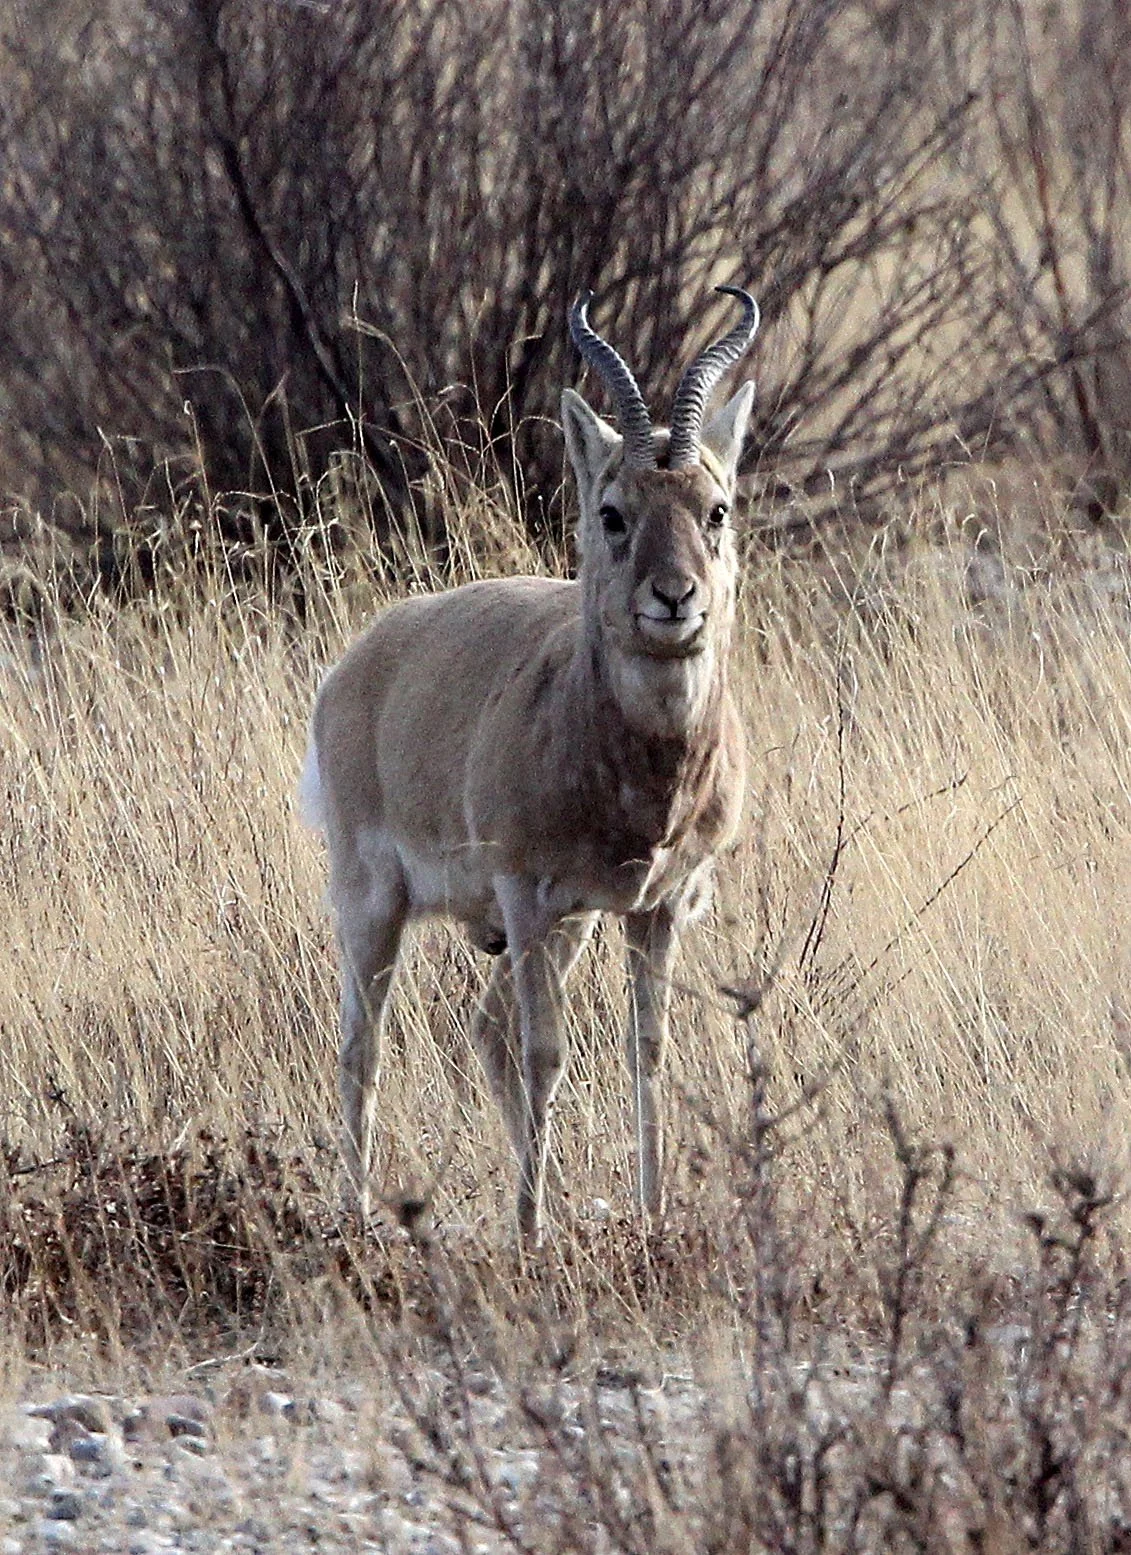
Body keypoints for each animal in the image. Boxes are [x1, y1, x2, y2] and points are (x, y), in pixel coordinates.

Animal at [301, 287, 758, 1241]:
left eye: (716, 506)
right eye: (612, 509)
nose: (674, 598)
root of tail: (363, 656)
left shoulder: (652, 909)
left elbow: (645, 1050)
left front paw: (651, 1214)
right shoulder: (527, 893)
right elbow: (547, 1053)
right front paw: (530, 1229)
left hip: (557, 929)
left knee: (481, 1030)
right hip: (379, 904)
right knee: (363, 1044)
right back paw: (356, 1213)